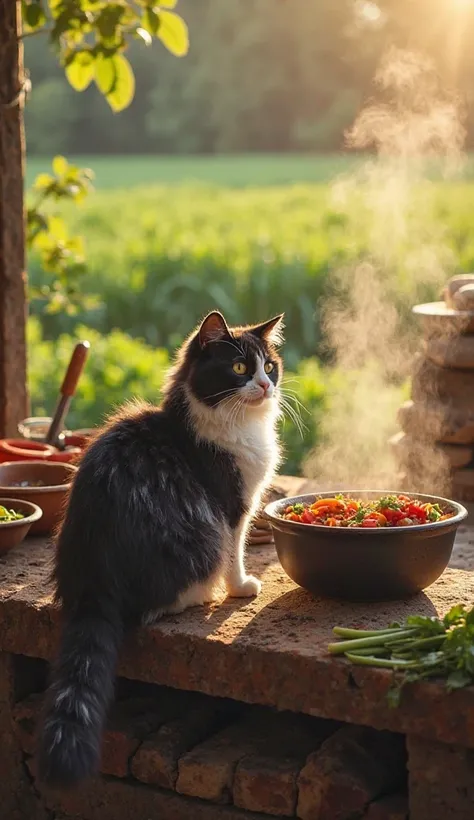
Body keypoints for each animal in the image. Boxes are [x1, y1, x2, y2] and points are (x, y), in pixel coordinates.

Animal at [38, 308, 282, 788]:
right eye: (240, 368)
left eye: (270, 365)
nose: (265, 385)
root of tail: (95, 577)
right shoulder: (231, 506)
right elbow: (236, 550)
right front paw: (241, 586)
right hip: (198, 538)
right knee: (153, 605)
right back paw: (200, 594)